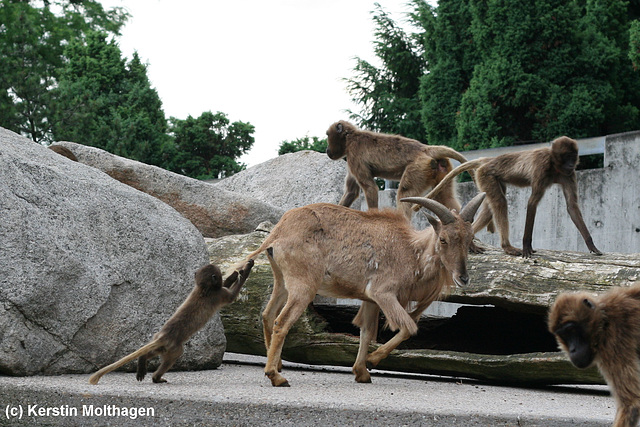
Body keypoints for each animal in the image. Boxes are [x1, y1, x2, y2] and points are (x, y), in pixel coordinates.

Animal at [89, 260, 254, 386]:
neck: (203, 289)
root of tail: (163, 335)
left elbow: (225, 284)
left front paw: (234, 275)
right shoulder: (219, 293)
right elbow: (231, 295)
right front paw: (246, 270)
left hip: (161, 345)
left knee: (152, 353)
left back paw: (142, 361)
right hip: (173, 347)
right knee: (175, 355)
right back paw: (156, 378)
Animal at [324, 121, 470, 219]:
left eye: (327, 135)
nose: (327, 150)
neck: (350, 138)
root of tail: (424, 148)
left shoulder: (354, 156)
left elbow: (370, 188)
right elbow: (351, 192)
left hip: (418, 168)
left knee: (404, 194)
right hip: (441, 168)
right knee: (446, 197)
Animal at [548, 284, 640, 427]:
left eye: (571, 330)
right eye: (564, 335)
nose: (573, 349)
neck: (604, 321)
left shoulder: (613, 343)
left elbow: (632, 403)